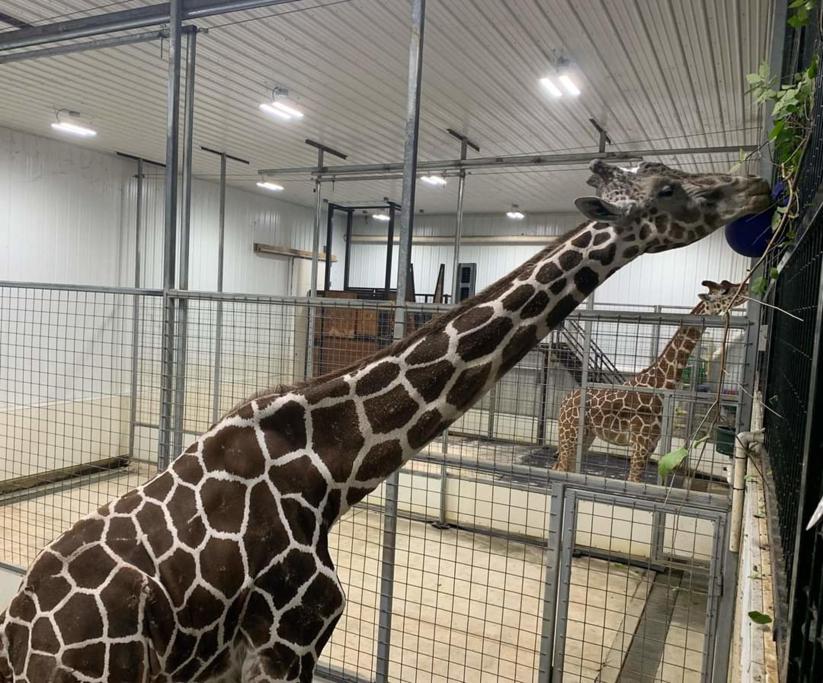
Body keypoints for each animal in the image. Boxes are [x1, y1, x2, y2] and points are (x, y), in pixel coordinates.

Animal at [552, 279, 746, 482]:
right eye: (725, 290)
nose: (747, 288)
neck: (662, 381)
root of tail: (564, 400)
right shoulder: (640, 443)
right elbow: (633, 480)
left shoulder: (652, 443)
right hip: (570, 432)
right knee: (560, 467)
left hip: (586, 434)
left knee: (565, 467)